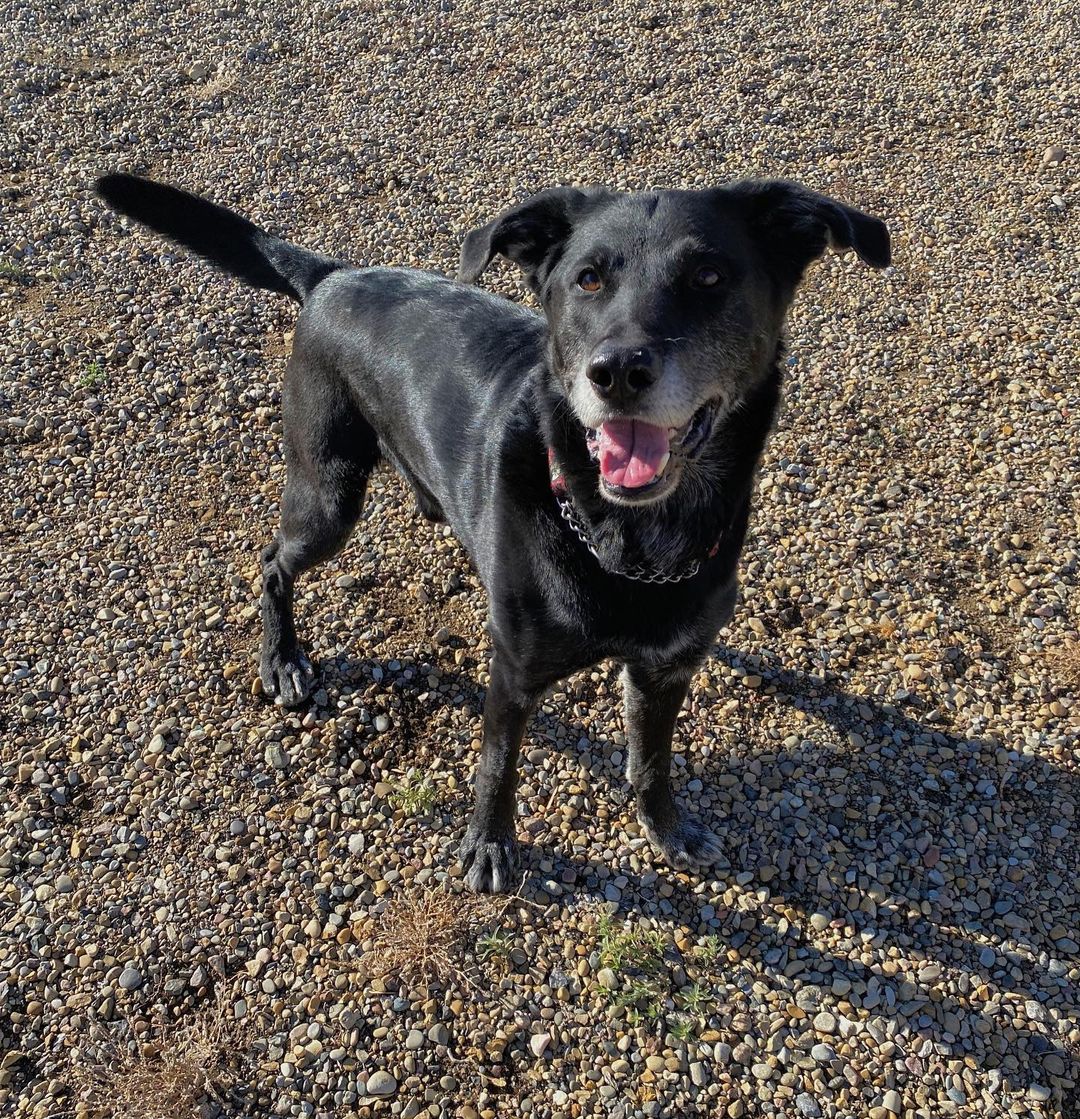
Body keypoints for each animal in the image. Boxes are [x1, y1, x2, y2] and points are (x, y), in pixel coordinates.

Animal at [94, 174, 886, 890]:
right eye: (587, 278)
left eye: (710, 276)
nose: (617, 372)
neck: (627, 542)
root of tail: (333, 276)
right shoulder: (513, 670)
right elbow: (497, 765)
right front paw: (489, 846)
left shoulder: (666, 669)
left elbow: (654, 757)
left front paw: (666, 825)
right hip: (327, 495)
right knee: (271, 562)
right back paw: (282, 657)